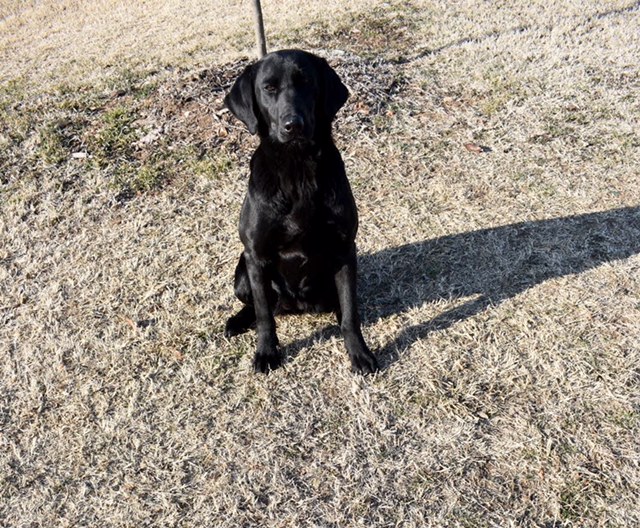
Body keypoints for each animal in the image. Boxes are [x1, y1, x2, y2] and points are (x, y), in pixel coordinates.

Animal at [224, 47, 378, 374]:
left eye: (306, 82)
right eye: (268, 88)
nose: (293, 125)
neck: (298, 170)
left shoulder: (344, 249)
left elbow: (351, 313)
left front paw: (359, 352)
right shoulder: (256, 256)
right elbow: (264, 317)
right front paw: (266, 353)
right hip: (242, 272)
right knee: (258, 306)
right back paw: (238, 321)